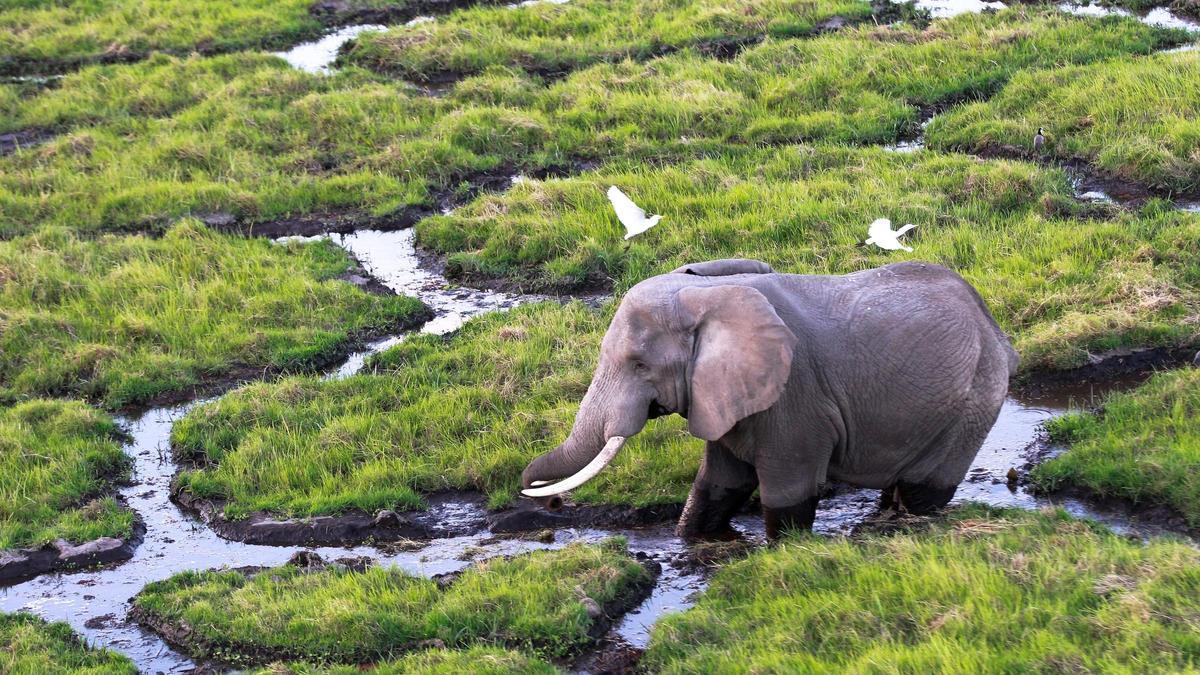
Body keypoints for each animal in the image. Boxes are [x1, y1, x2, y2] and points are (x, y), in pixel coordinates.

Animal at [521, 259, 1019, 539]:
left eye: (640, 365)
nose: (548, 502)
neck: (704, 296)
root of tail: (994, 326)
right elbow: (719, 484)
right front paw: (694, 540)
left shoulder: (796, 397)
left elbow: (787, 493)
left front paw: (786, 550)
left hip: (975, 400)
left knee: (924, 490)